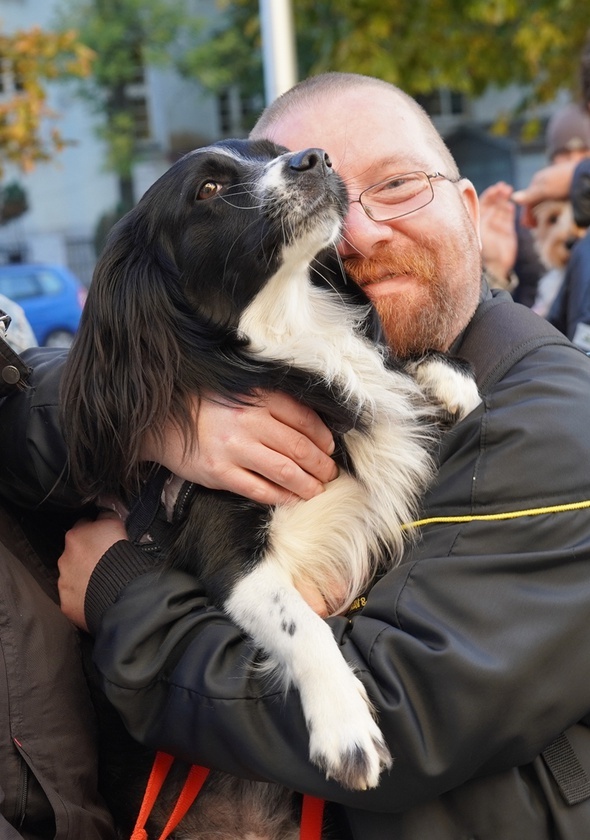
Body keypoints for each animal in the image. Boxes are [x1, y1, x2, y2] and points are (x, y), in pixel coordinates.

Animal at [62, 136, 484, 832]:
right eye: (207, 190)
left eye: (271, 151)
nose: (314, 159)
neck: (293, 330)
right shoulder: (229, 558)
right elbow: (300, 624)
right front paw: (346, 728)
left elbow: (404, 365)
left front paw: (450, 380)